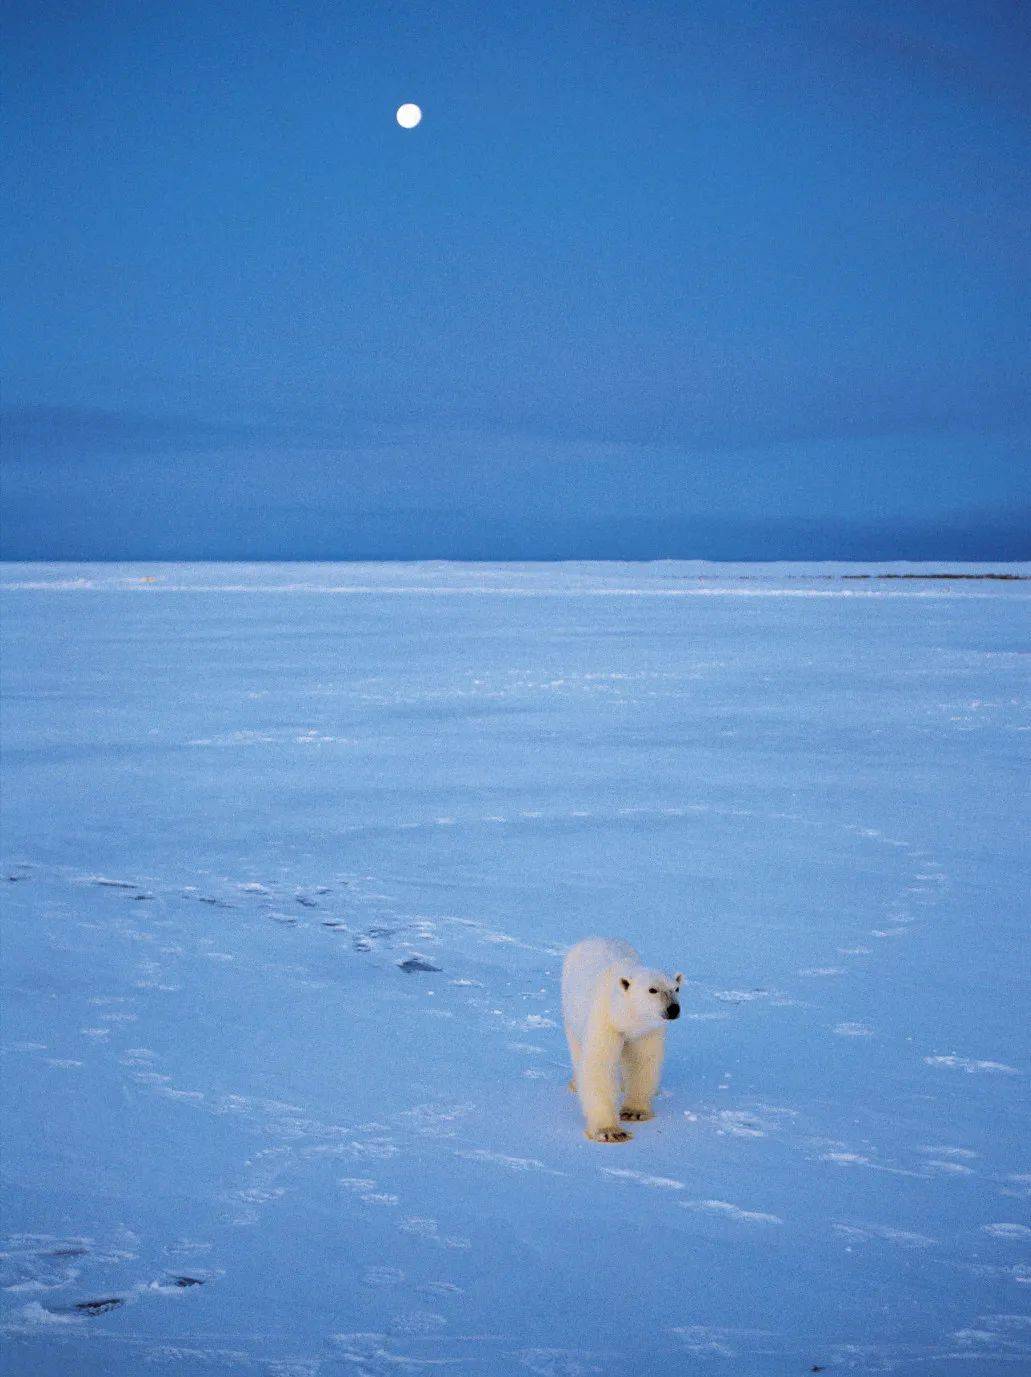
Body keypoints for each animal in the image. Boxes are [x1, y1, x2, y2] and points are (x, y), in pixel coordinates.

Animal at [558, 936, 679, 1140]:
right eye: (652, 990)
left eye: (676, 988)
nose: (673, 1009)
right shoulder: (606, 1018)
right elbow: (599, 1064)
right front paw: (610, 1131)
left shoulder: (646, 1029)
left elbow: (642, 1061)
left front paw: (634, 1112)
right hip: (570, 1007)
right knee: (578, 1049)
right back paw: (576, 1083)